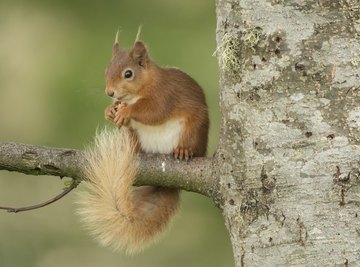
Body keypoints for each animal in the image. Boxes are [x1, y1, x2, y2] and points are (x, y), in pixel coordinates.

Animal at [77, 32, 210, 254]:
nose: (109, 93)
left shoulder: (164, 95)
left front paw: (126, 111)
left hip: (194, 130)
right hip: (134, 136)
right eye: (107, 69)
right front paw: (110, 111)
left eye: (128, 74)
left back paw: (184, 150)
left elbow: (153, 111)